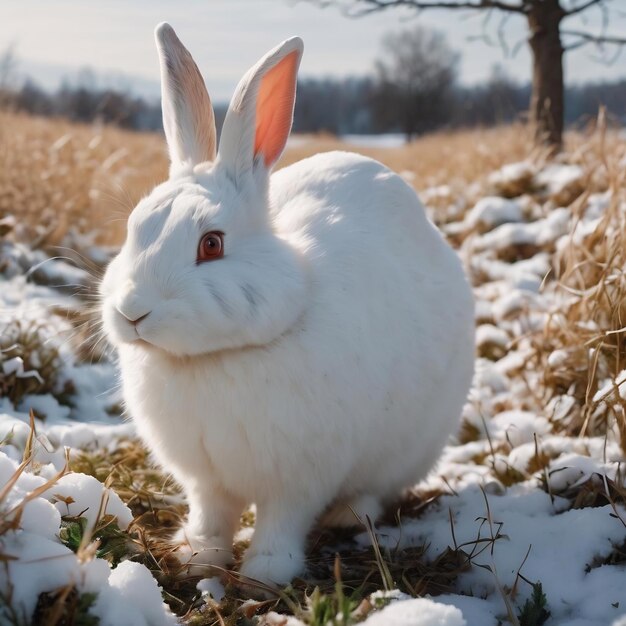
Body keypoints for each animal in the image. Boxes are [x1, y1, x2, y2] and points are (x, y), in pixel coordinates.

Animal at [101, 23, 472, 584]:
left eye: (212, 244)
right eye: (132, 228)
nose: (131, 312)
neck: (214, 358)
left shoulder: (300, 478)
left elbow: (283, 520)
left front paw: (265, 573)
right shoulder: (206, 481)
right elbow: (212, 515)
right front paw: (197, 557)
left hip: (407, 448)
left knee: (373, 489)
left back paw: (348, 515)